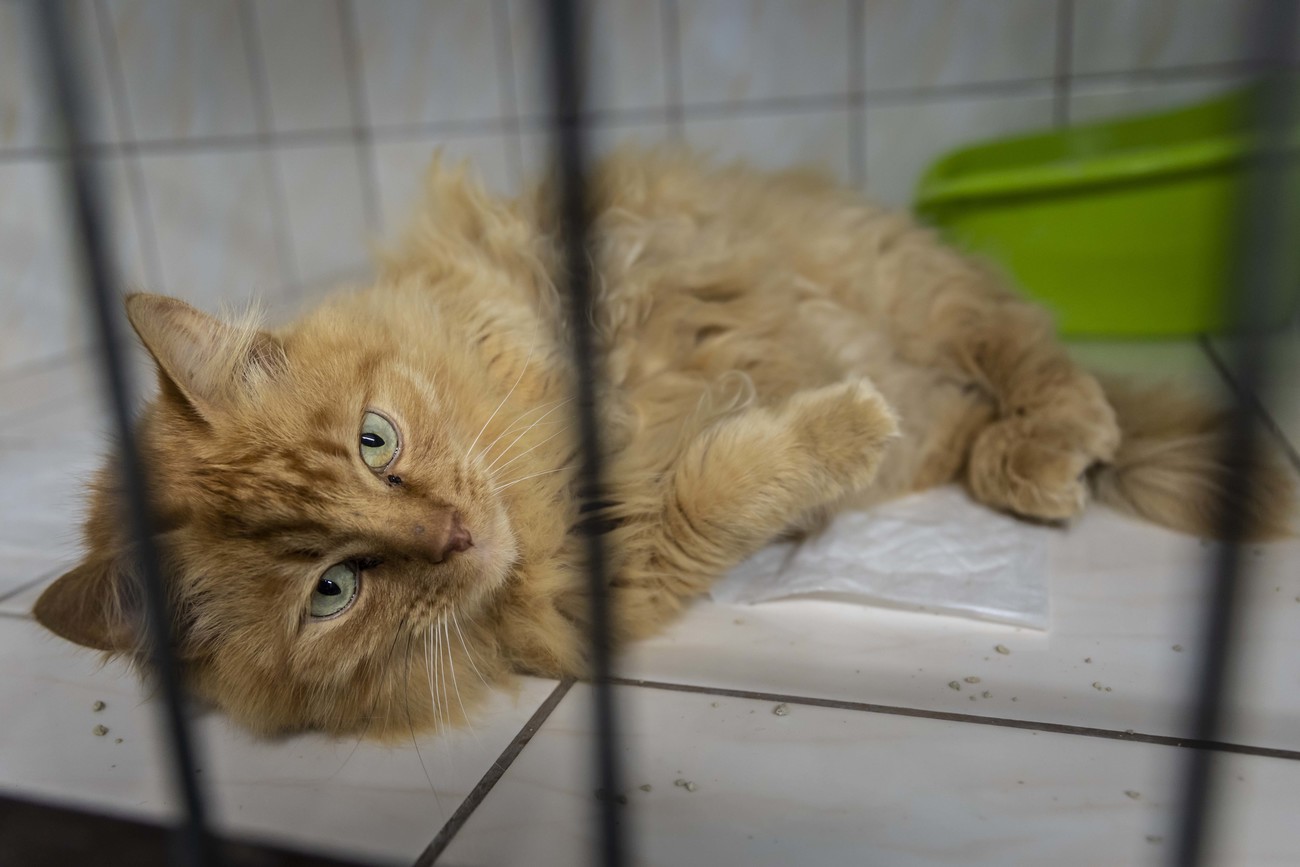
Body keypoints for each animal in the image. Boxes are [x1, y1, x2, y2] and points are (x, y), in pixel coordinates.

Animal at [30, 147, 1289, 738]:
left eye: (376, 441)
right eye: (333, 589)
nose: (452, 533)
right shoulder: (616, 576)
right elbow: (719, 490)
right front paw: (830, 426)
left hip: (914, 292)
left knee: (1034, 360)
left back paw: (1048, 450)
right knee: (988, 403)